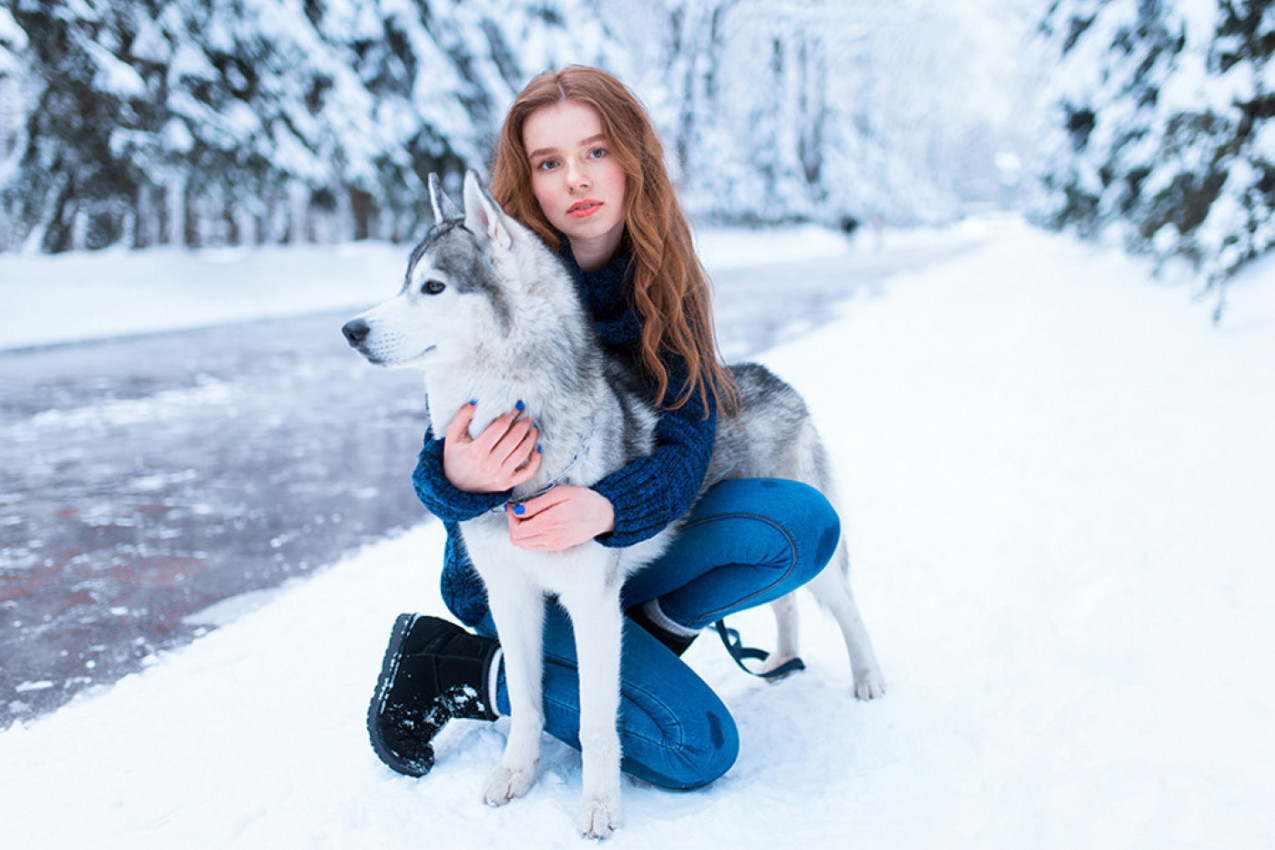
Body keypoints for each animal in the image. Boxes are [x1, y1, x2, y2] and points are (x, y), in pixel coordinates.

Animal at [344, 170, 882, 835]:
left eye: (433, 286)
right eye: (404, 282)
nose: (350, 330)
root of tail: (773, 378)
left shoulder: (591, 607)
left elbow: (598, 723)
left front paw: (600, 806)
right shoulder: (512, 598)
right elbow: (525, 702)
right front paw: (515, 775)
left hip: (819, 535)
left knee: (844, 604)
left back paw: (867, 676)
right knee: (786, 604)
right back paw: (781, 658)